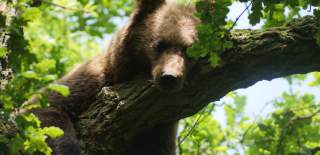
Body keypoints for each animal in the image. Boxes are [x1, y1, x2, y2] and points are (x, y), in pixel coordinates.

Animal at [30, 0, 200, 154]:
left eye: (188, 49)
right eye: (160, 44)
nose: (169, 77)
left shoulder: (161, 125)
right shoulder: (93, 78)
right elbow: (46, 107)